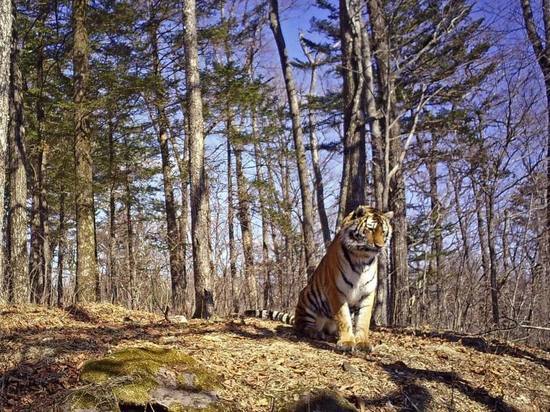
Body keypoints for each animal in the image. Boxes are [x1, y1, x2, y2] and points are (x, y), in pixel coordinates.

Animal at [245, 205, 392, 350]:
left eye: (384, 232)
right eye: (370, 229)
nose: (380, 246)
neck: (362, 260)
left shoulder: (367, 292)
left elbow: (363, 320)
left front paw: (362, 343)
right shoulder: (336, 290)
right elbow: (343, 318)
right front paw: (347, 342)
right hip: (308, 298)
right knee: (303, 326)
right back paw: (316, 332)